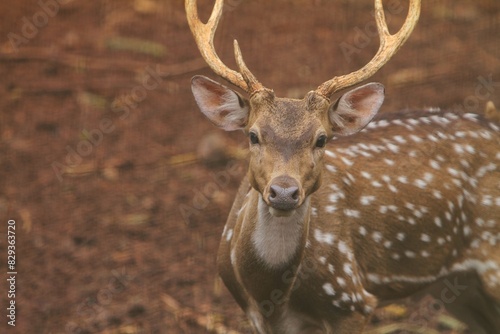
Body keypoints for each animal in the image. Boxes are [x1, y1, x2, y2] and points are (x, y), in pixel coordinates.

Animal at [185, 0, 500, 332]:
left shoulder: (350, 300)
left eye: (322, 139)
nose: (283, 192)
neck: (271, 295)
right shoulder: (253, 312)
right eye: (253, 135)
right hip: (459, 287)